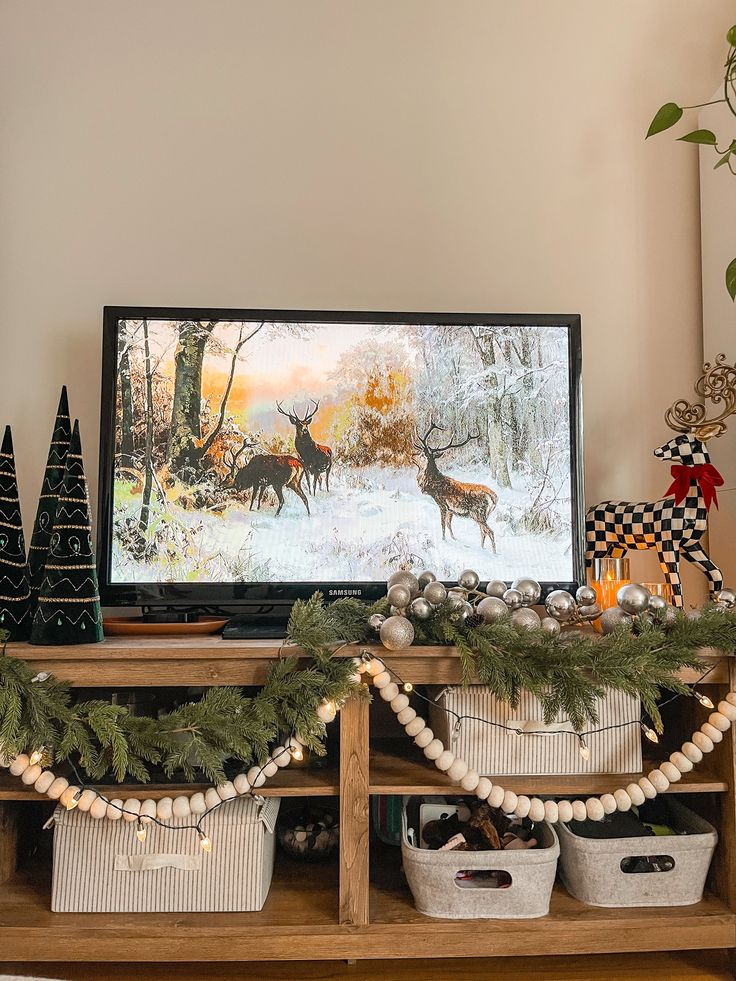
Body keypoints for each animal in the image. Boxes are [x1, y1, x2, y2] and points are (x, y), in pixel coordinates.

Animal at [412, 424, 498, 552]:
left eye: (422, 454)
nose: (412, 455)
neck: (433, 487)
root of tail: (494, 497)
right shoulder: (450, 509)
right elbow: (449, 524)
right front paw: (453, 538)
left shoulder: (442, 504)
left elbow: (443, 524)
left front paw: (443, 540)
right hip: (482, 516)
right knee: (483, 532)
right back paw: (482, 548)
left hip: (479, 513)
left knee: (490, 532)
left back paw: (494, 553)